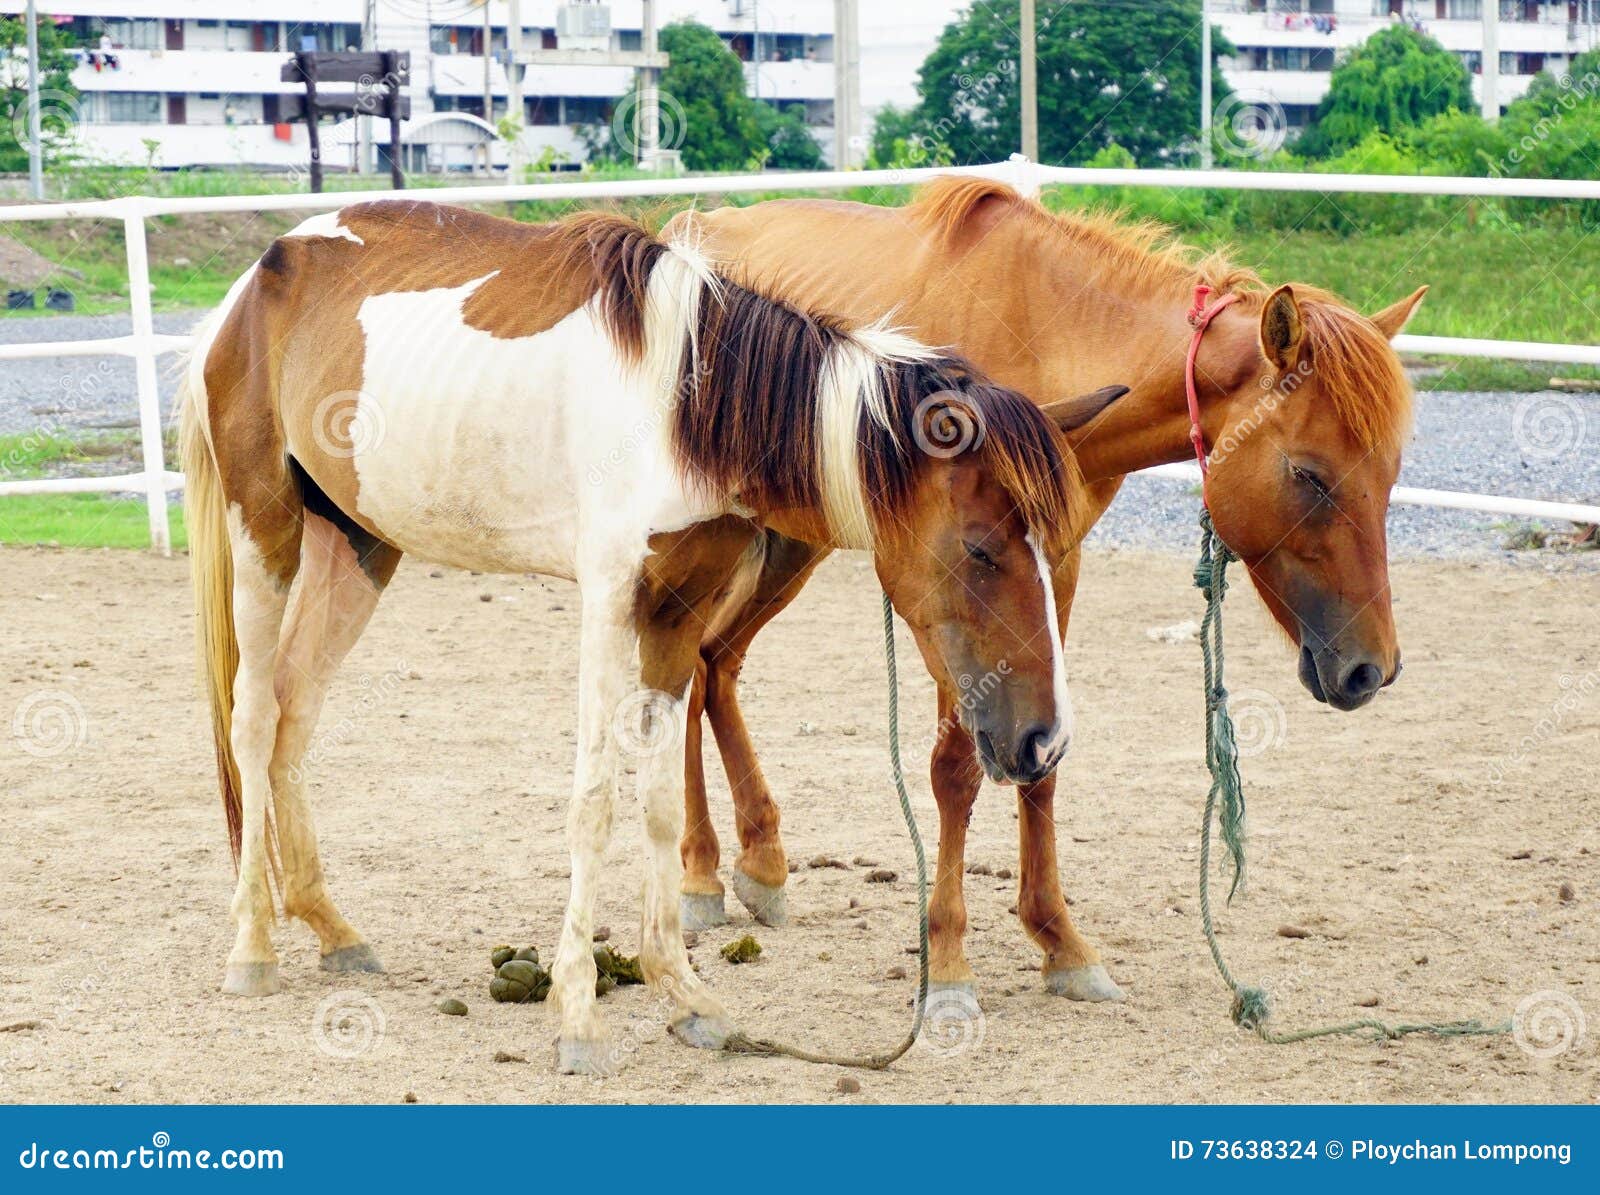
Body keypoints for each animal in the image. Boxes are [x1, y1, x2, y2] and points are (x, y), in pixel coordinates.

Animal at [180, 200, 1122, 1074]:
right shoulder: (608, 599)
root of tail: (254, 280)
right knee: (253, 718)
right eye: (980, 547)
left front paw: (685, 993)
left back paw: (332, 928)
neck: (683, 404)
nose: (1045, 740)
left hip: (360, 544)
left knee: (295, 710)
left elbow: (662, 802)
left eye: (1055, 546)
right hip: (266, 527)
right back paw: (252, 947)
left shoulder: (674, 612)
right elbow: (595, 798)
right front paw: (578, 1017)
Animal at [667, 176, 1426, 1003]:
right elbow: (957, 766)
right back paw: (700, 873)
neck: (1050, 335)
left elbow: (1043, 753)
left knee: (714, 665)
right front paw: (949, 959)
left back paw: (761, 862)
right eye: (1308, 474)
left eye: (1391, 472)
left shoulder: (1051, 566)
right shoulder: (951, 584)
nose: (1373, 668)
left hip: (791, 542)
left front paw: (1060, 940)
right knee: (690, 666)